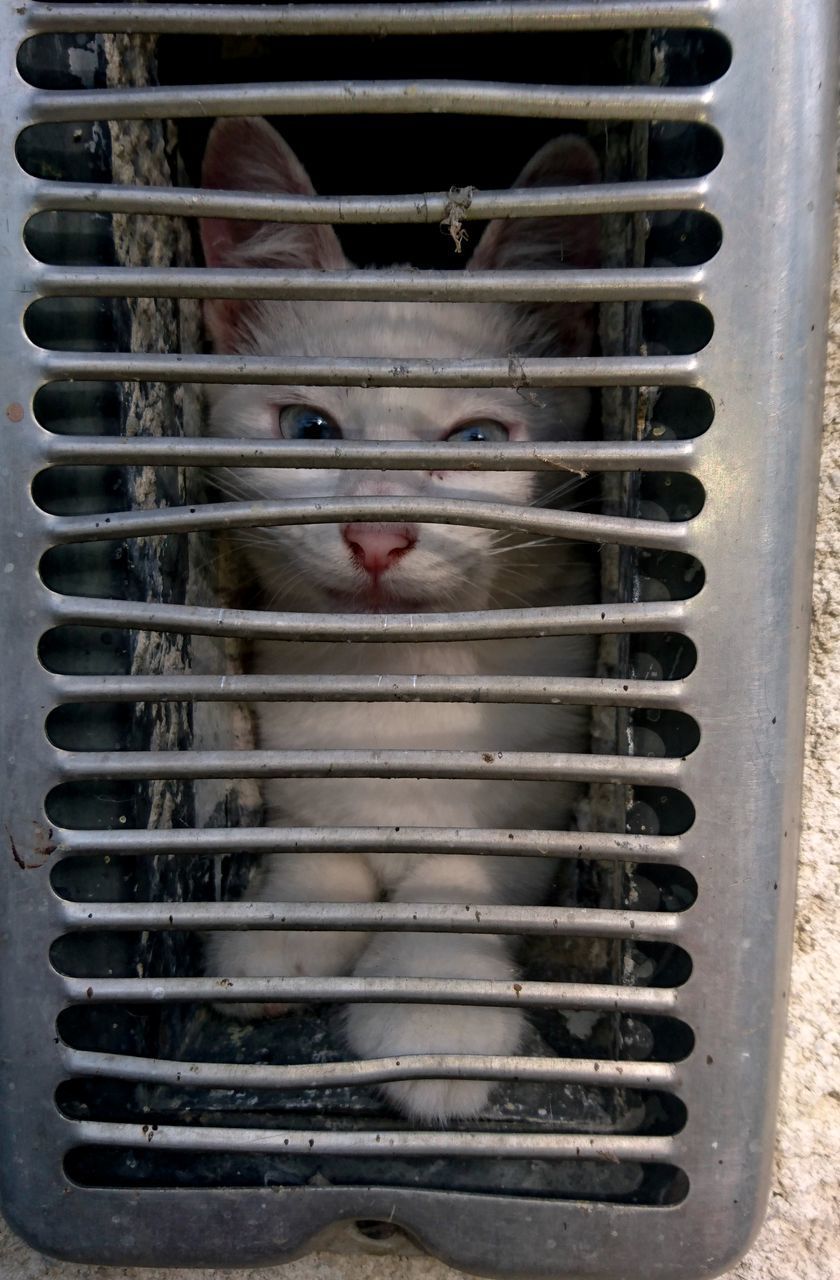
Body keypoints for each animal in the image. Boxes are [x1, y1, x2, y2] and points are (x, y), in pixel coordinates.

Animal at [201, 120, 599, 1121]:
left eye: (477, 442)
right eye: (309, 429)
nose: (377, 534)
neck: (399, 683)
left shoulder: (535, 797)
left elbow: (461, 882)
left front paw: (434, 1004)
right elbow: (319, 842)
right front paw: (286, 921)